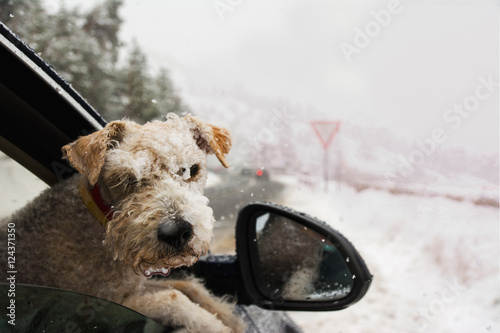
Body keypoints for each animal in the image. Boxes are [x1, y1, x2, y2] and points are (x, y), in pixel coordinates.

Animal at [0, 113, 245, 330]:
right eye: (126, 179)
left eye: (192, 169)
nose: (177, 233)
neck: (99, 217)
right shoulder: (99, 303)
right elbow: (175, 299)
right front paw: (218, 327)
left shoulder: (133, 287)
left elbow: (187, 285)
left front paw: (229, 317)